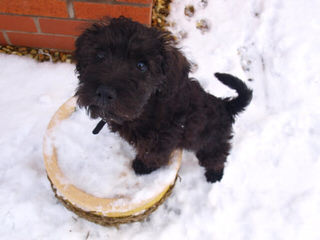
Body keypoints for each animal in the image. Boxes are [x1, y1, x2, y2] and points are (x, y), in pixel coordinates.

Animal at [75, 16, 252, 182]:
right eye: (100, 55)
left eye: (141, 66)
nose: (104, 92)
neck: (148, 106)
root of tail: (226, 105)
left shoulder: (162, 139)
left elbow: (152, 154)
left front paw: (143, 166)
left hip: (210, 143)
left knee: (217, 157)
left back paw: (214, 174)